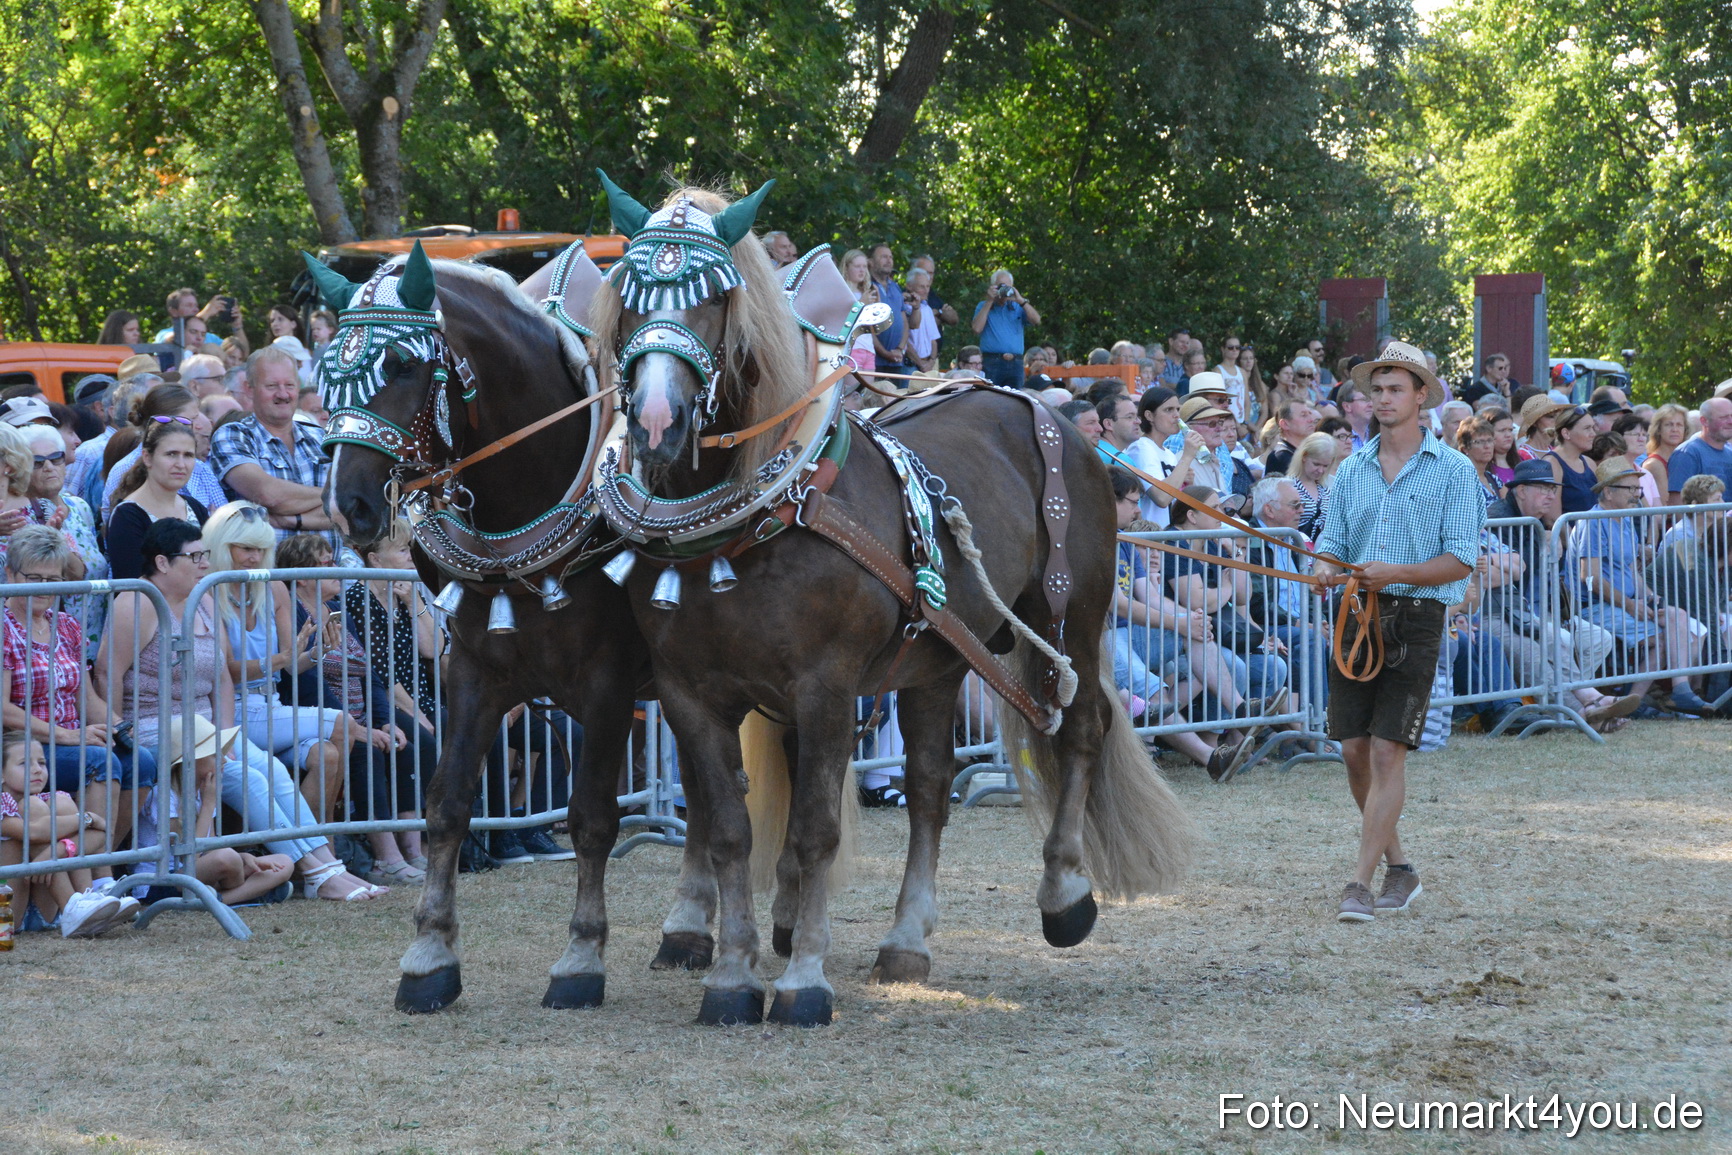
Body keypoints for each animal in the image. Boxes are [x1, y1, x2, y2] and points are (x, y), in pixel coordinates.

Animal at [311, 243, 672, 1014]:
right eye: (329, 369)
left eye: (402, 365)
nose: (348, 503)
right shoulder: (473, 673)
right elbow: (446, 804)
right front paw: (429, 957)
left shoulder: (608, 687)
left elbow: (592, 816)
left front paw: (581, 957)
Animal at [590, 176, 1196, 1026]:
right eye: (631, 300)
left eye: (715, 300)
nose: (654, 421)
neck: (759, 520)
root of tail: (1047, 413)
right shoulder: (690, 692)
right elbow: (730, 829)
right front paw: (733, 975)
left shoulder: (825, 685)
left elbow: (813, 829)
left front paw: (804, 979)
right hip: (940, 657)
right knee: (932, 788)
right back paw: (907, 938)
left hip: (1070, 617)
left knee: (1079, 727)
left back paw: (1064, 891)